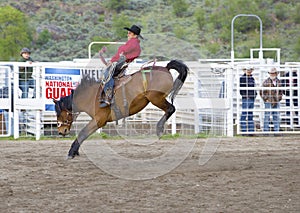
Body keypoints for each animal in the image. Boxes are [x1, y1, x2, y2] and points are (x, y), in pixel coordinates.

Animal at [53, 59, 189, 158]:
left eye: (59, 114)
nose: (61, 131)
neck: (91, 96)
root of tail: (165, 68)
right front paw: (75, 151)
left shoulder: (99, 120)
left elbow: (83, 133)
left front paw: (71, 152)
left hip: (156, 98)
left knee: (171, 109)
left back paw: (159, 128)